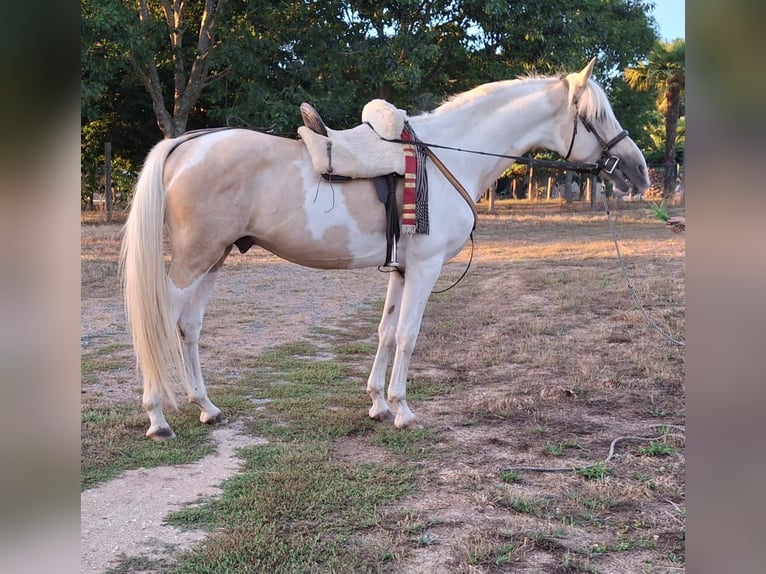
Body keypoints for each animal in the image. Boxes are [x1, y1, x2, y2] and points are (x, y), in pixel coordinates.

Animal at [123, 59, 652, 440]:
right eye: (594, 117)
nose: (637, 172)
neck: (448, 154)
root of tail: (185, 143)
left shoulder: (400, 269)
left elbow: (384, 331)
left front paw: (377, 402)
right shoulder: (425, 268)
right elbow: (408, 336)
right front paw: (402, 409)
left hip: (214, 259)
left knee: (189, 328)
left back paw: (206, 408)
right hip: (192, 262)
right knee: (162, 323)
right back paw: (158, 418)